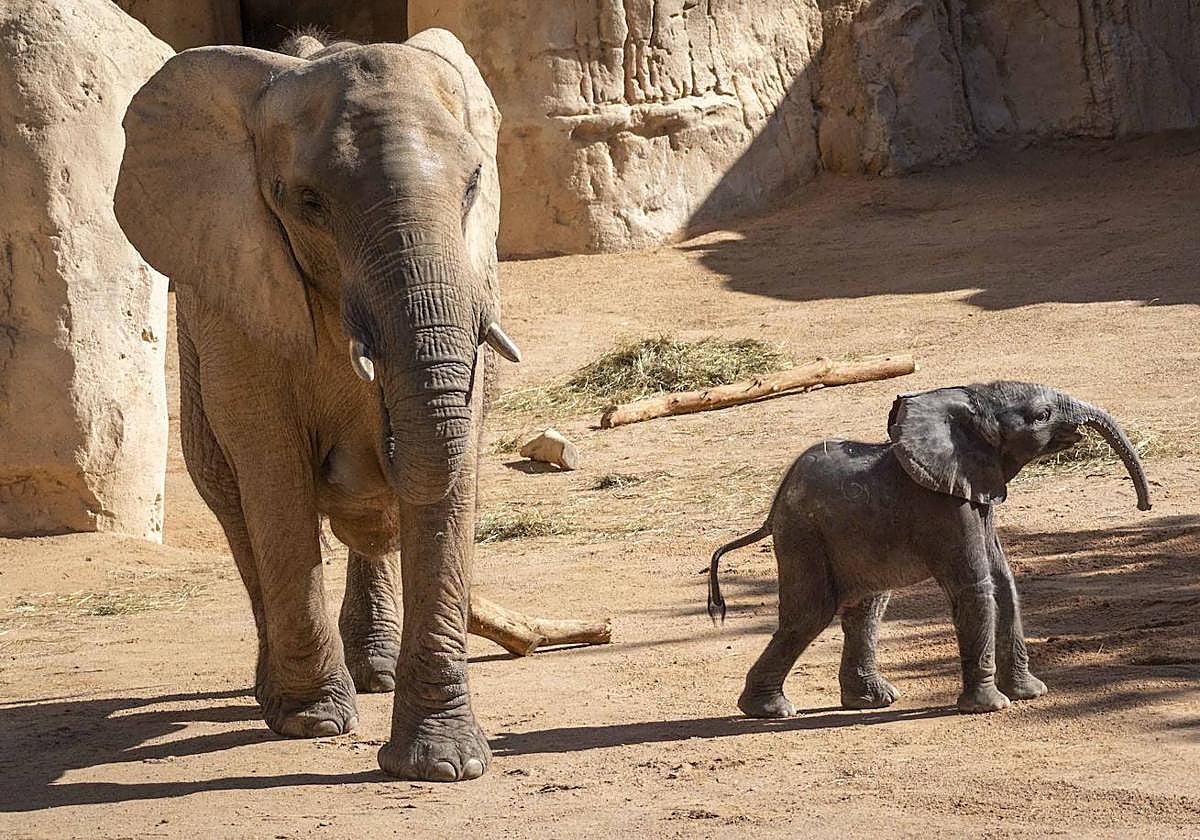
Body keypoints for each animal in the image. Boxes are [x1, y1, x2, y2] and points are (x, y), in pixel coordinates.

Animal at [115, 30, 518, 781]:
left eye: (474, 183)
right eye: (307, 203)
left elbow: (451, 460)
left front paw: (442, 766)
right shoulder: (236, 297)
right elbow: (270, 464)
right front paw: (314, 722)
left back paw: (376, 671)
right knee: (233, 501)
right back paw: (278, 694)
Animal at [707, 381, 1151, 718]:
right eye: (1041, 415)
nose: (1144, 506)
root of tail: (773, 506)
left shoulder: (976, 493)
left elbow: (1003, 580)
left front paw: (1031, 694)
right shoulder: (944, 507)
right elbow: (976, 585)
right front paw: (990, 707)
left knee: (866, 609)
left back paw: (872, 701)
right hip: (804, 535)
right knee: (810, 614)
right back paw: (772, 711)